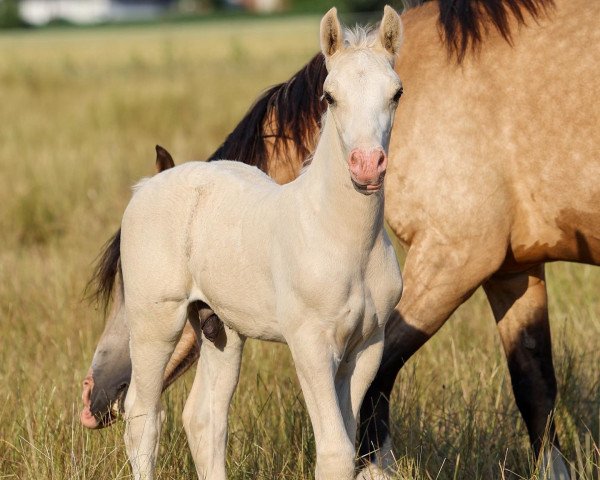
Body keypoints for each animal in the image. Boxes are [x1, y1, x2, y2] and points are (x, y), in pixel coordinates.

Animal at [120, 8, 404, 480]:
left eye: (396, 93)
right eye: (329, 96)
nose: (366, 167)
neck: (341, 238)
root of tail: (146, 186)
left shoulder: (367, 346)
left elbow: (350, 445)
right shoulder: (310, 343)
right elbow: (334, 451)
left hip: (220, 328)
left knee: (204, 417)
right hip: (155, 323)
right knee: (142, 416)